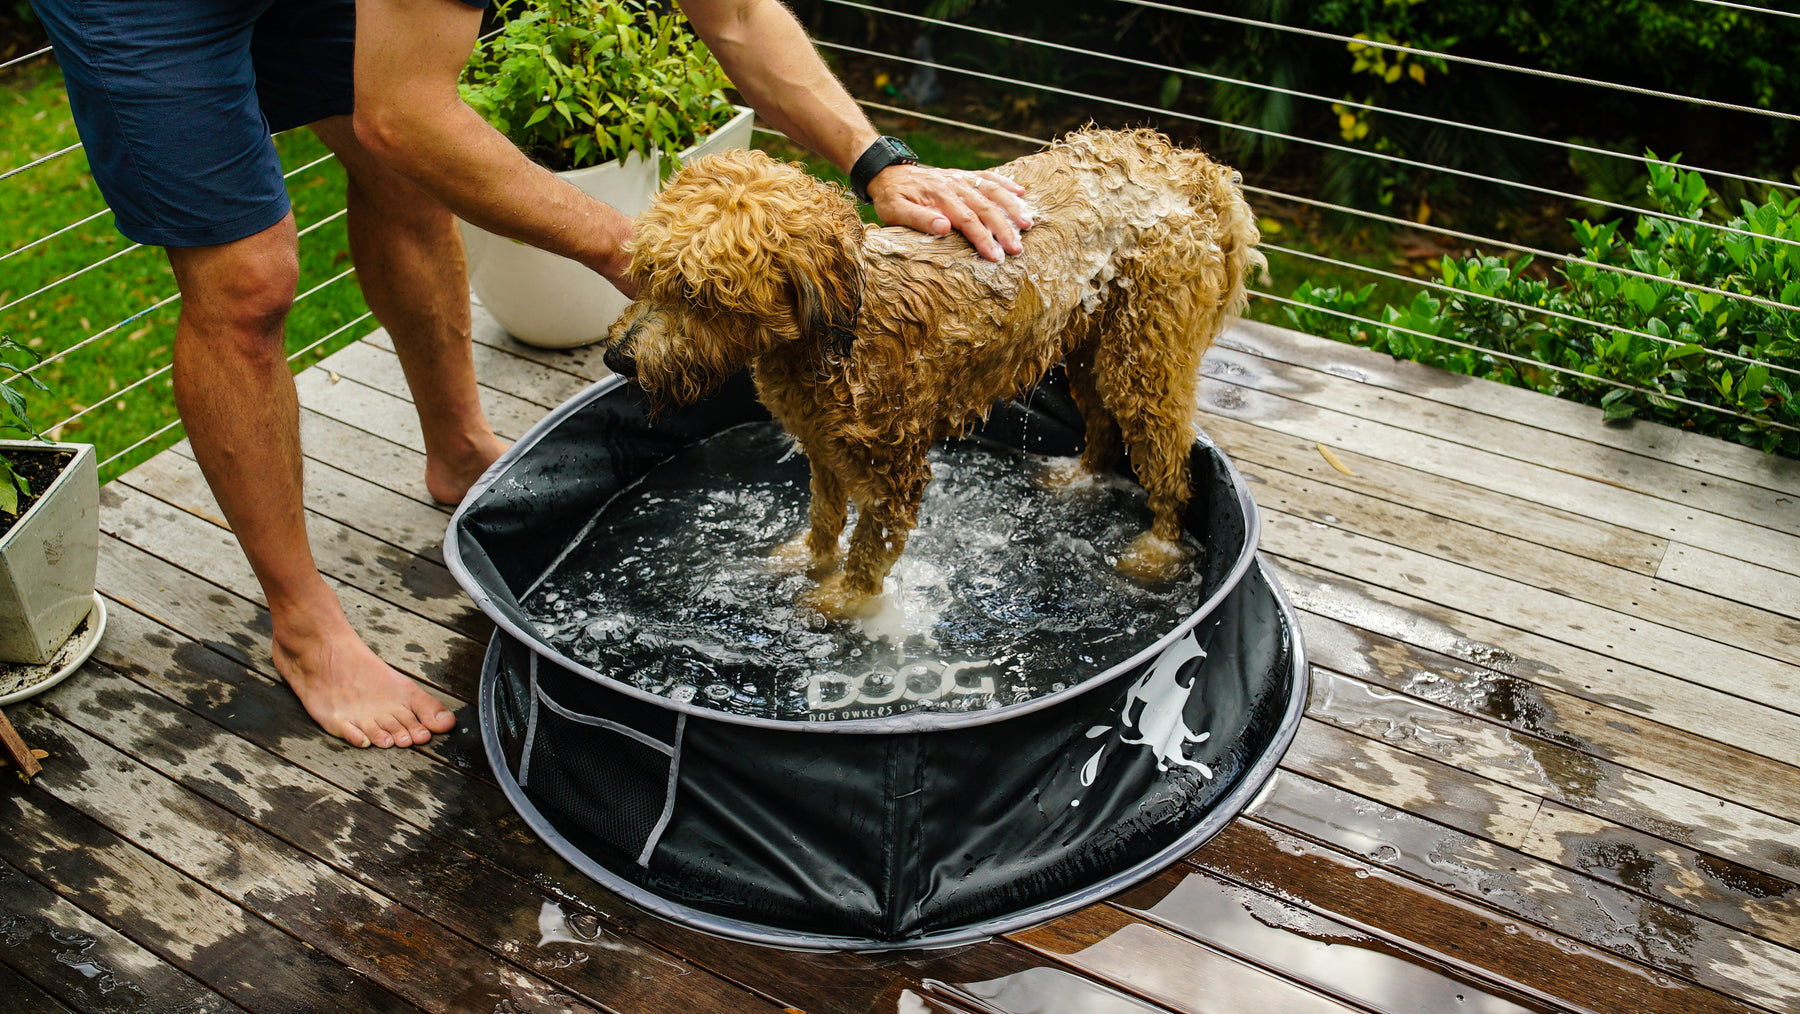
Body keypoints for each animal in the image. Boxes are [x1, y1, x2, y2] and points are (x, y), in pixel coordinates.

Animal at [604, 126, 1267, 619]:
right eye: (648, 272)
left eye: (700, 294)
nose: (618, 359)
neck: (836, 335)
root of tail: (1191, 168)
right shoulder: (824, 452)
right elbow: (824, 520)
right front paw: (803, 560)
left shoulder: (896, 476)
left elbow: (867, 553)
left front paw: (841, 603)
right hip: (1086, 348)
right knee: (1103, 429)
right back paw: (1077, 480)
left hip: (1144, 360)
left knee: (1171, 464)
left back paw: (1155, 552)